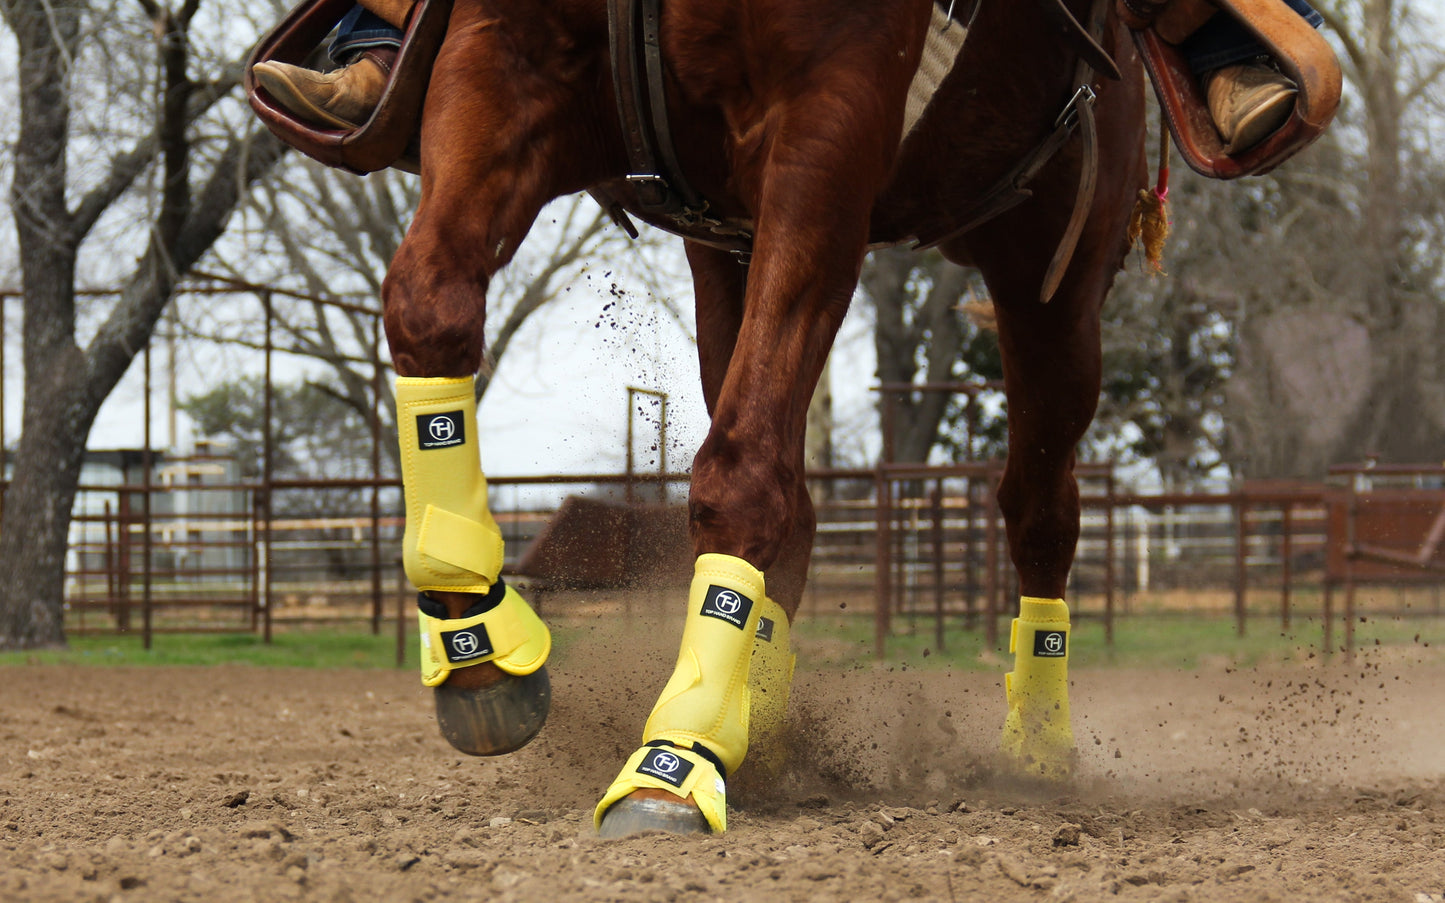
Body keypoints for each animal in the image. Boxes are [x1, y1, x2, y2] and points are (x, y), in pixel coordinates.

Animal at [367, 0, 1144, 832]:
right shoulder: (507, 53)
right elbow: (427, 304)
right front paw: (476, 648)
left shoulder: (828, 119)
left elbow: (739, 473)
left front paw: (676, 754)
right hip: (726, 249)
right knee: (803, 505)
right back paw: (764, 726)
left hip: (1053, 282)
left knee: (1038, 508)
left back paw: (1037, 743)